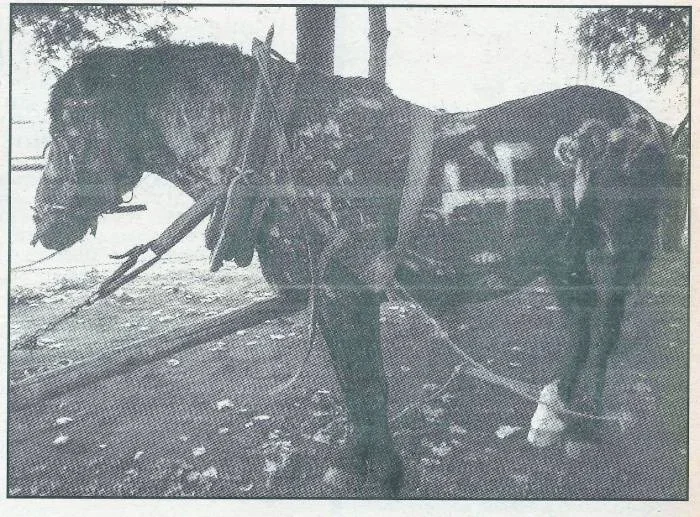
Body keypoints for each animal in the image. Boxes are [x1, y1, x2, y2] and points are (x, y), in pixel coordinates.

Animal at [30, 44, 668, 496]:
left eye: (68, 125)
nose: (40, 221)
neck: (278, 147)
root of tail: (649, 122)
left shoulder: (348, 288)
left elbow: (368, 382)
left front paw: (383, 472)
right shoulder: (329, 294)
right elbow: (351, 382)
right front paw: (356, 464)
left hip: (616, 248)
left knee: (606, 328)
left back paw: (583, 426)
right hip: (563, 254)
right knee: (580, 323)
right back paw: (553, 415)